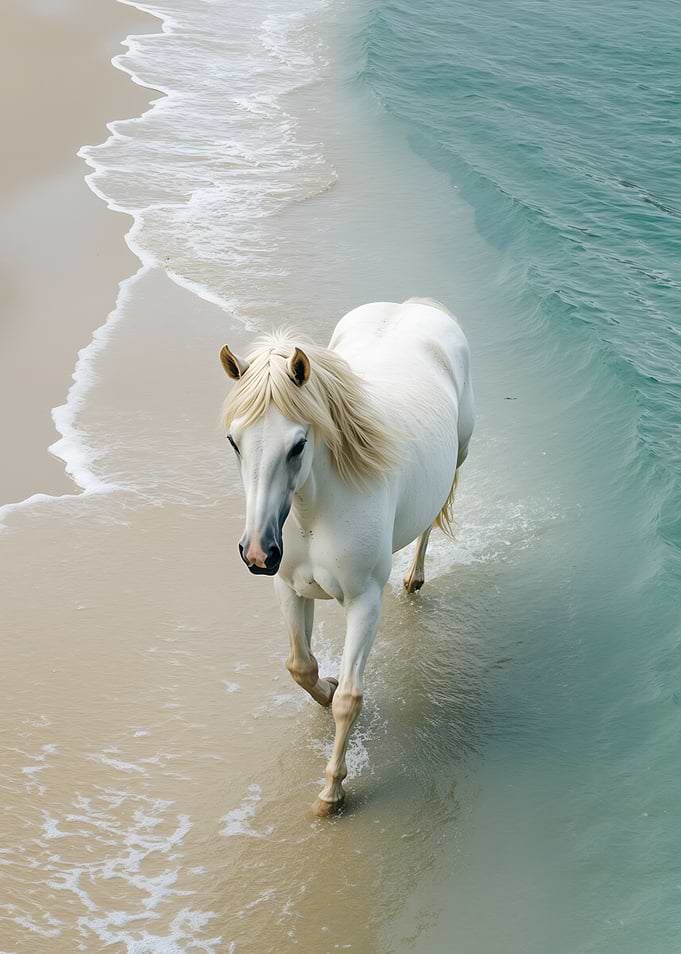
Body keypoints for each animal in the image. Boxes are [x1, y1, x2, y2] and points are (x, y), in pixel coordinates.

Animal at [219, 298, 474, 815]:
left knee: (430, 521)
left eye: (299, 444)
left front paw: (332, 791)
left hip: (459, 452)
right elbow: (301, 667)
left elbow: (350, 701)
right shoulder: (290, 588)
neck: (315, 511)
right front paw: (326, 686)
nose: (257, 552)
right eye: (234, 442)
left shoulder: (363, 602)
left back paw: (415, 577)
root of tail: (412, 306)